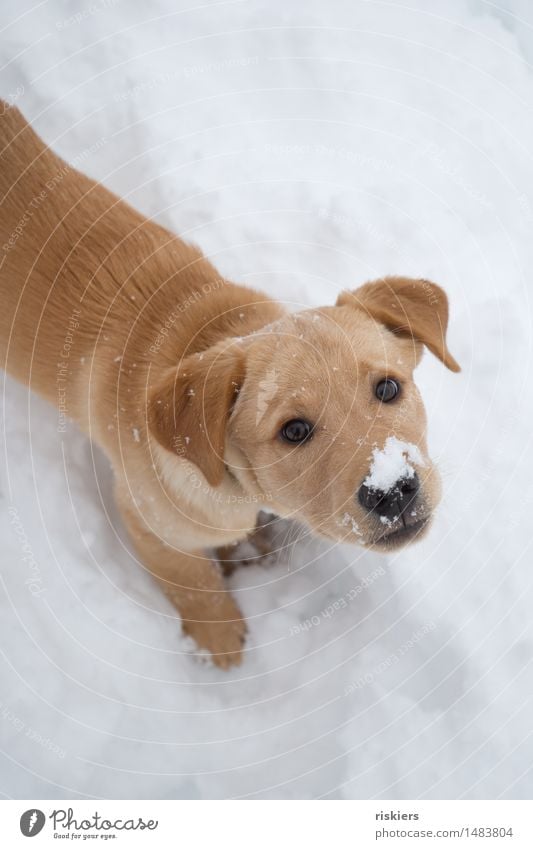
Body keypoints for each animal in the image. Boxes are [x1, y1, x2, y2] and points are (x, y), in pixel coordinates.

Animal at [0, 102, 458, 664]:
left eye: (389, 389)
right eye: (294, 431)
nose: (392, 491)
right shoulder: (147, 519)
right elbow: (190, 577)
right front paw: (218, 633)